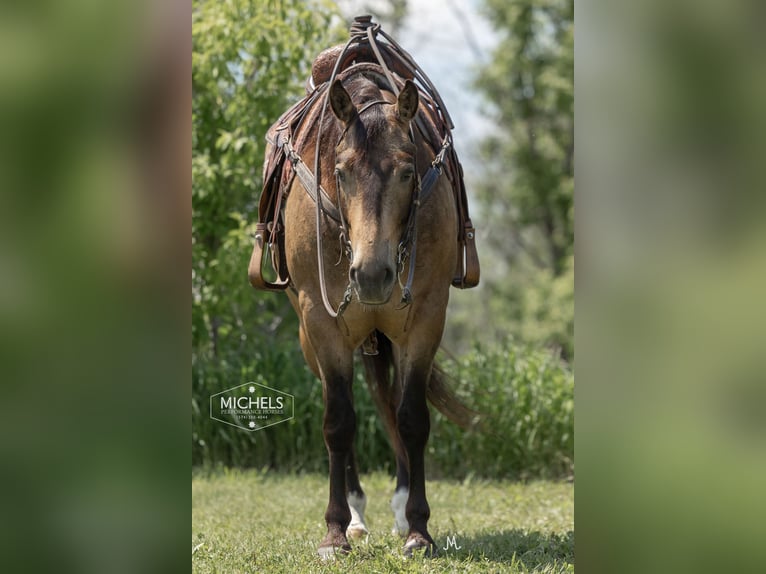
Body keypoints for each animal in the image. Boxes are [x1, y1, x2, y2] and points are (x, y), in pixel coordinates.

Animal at [250, 16, 480, 560]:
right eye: (340, 170)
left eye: (408, 170)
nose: (371, 275)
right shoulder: (322, 324)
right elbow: (338, 421)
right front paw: (335, 530)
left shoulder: (425, 319)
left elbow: (411, 417)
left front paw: (418, 528)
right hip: (311, 338)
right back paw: (355, 516)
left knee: (391, 404)